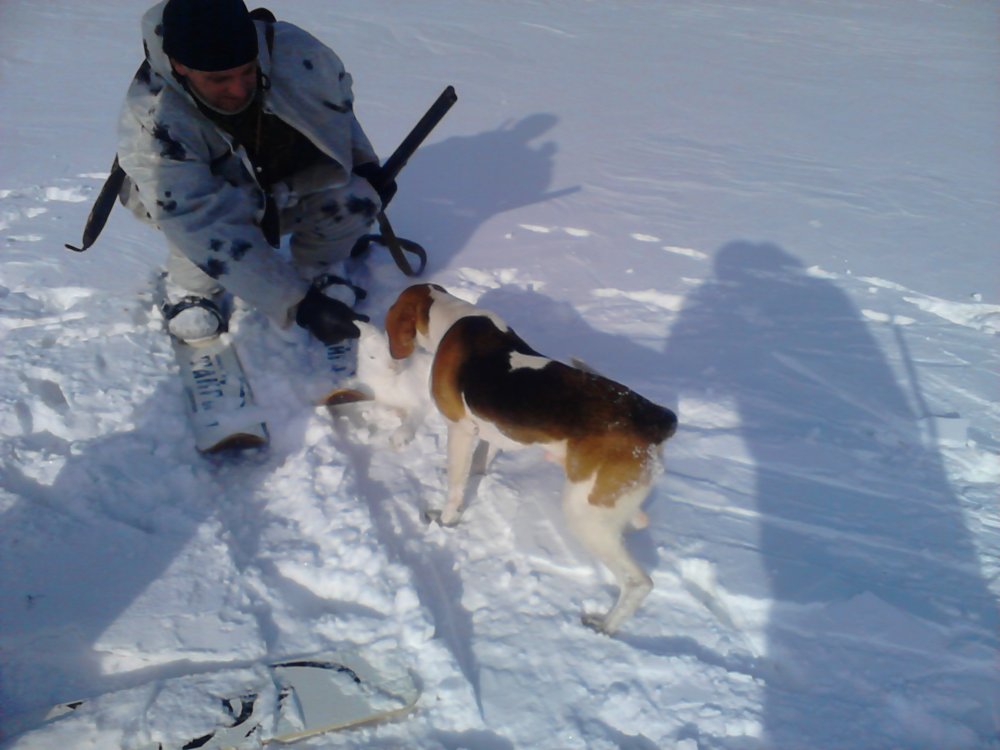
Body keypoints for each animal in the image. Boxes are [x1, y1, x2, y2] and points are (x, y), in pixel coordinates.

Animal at [384, 284, 678, 634]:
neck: (450, 316)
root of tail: (653, 417)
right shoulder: (491, 430)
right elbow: (479, 462)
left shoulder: (459, 430)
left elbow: (455, 484)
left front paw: (446, 520)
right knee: (633, 524)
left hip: (584, 517)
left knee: (639, 583)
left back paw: (606, 625)